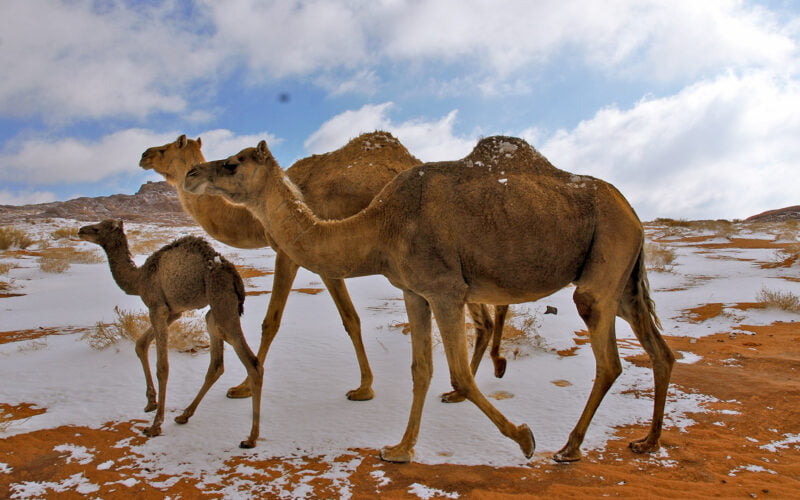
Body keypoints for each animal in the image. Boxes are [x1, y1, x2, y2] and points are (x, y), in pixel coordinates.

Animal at [77, 221, 260, 448]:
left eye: (99, 228)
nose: (81, 230)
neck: (139, 279)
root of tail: (234, 276)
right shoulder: (173, 311)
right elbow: (140, 344)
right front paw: (150, 402)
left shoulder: (157, 308)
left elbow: (162, 367)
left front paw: (155, 426)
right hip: (215, 313)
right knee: (217, 362)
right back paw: (184, 415)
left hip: (222, 304)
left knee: (252, 363)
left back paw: (250, 438)